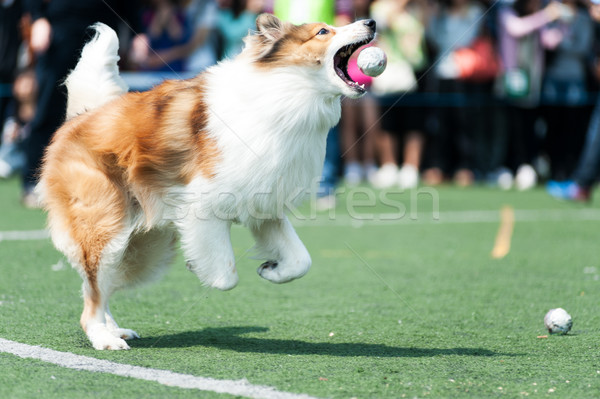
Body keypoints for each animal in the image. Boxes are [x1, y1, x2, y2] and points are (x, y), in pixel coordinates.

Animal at [38, 14, 376, 350]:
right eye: (323, 31)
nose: (371, 22)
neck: (286, 92)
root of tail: (80, 118)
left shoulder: (265, 205)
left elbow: (300, 260)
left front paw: (272, 270)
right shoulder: (204, 205)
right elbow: (226, 275)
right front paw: (200, 267)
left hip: (142, 250)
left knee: (100, 288)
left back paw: (113, 330)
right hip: (105, 227)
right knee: (92, 295)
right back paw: (103, 338)